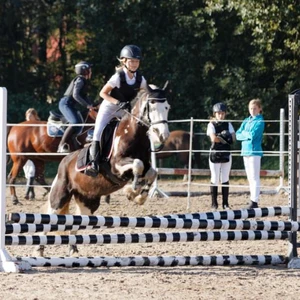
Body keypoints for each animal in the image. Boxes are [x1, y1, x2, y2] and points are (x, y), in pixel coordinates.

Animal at [36, 84, 170, 255]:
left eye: (167, 107)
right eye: (151, 106)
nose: (162, 135)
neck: (133, 134)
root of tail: (65, 160)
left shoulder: (145, 166)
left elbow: (151, 172)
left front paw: (138, 195)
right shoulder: (115, 165)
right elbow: (137, 164)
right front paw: (132, 190)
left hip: (88, 203)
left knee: (76, 222)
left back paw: (73, 250)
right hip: (59, 197)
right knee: (50, 218)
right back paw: (39, 250)